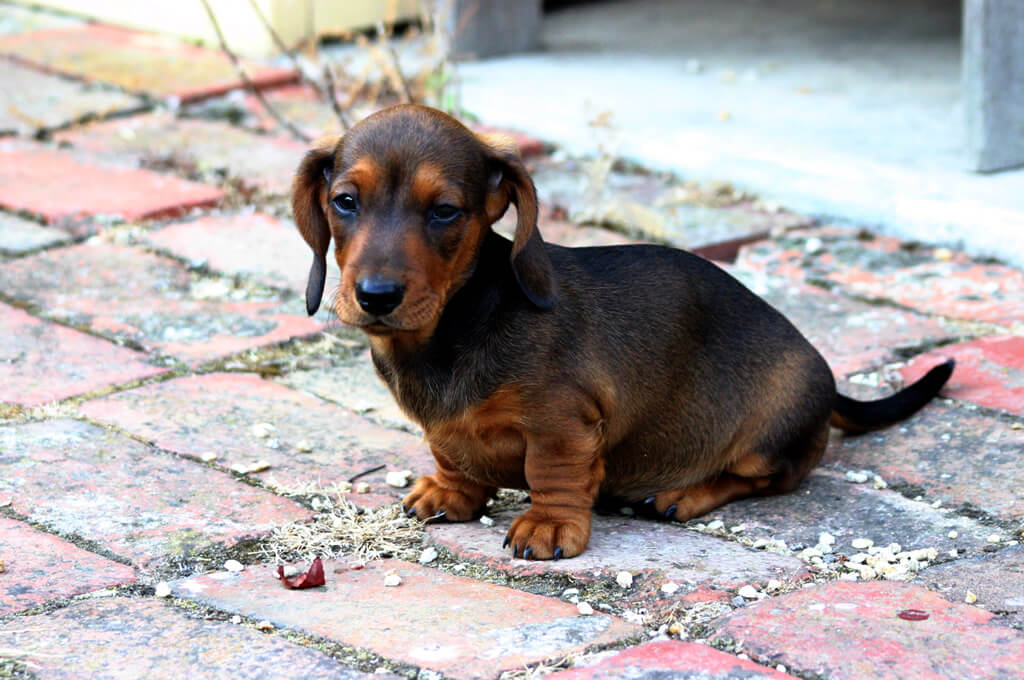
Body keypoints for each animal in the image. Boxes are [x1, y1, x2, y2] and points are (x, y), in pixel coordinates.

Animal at [292, 103, 954, 561]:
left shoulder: (562, 423)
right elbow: (451, 454)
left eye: (445, 211)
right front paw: (451, 493)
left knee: (772, 475)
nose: (376, 296)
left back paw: (683, 494)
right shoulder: (445, 425)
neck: (454, 323)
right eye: (345, 201)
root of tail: (829, 381)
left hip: (771, 433)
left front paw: (549, 524)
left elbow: (551, 474)